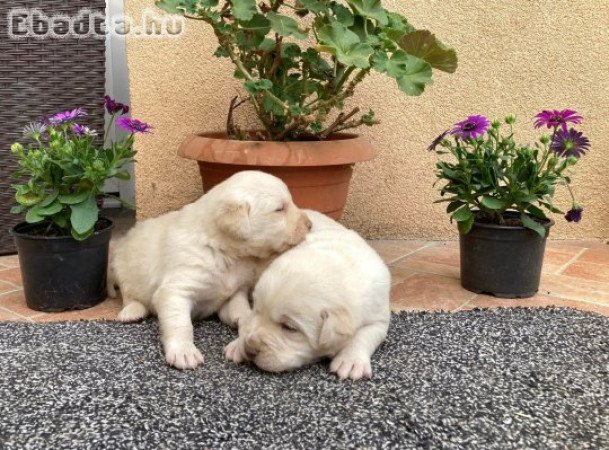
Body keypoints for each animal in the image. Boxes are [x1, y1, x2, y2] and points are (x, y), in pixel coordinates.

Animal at [109, 171, 312, 370]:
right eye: (280, 209)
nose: (310, 225)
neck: (223, 251)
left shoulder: (234, 293)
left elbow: (242, 312)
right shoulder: (175, 290)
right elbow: (180, 323)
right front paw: (184, 352)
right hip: (122, 268)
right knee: (129, 295)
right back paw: (132, 311)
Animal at [223, 210, 390, 380]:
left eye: (289, 328)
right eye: (257, 311)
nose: (249, 348)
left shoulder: (379, 316)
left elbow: (364, 334)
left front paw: (350, 361)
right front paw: (239, 344)